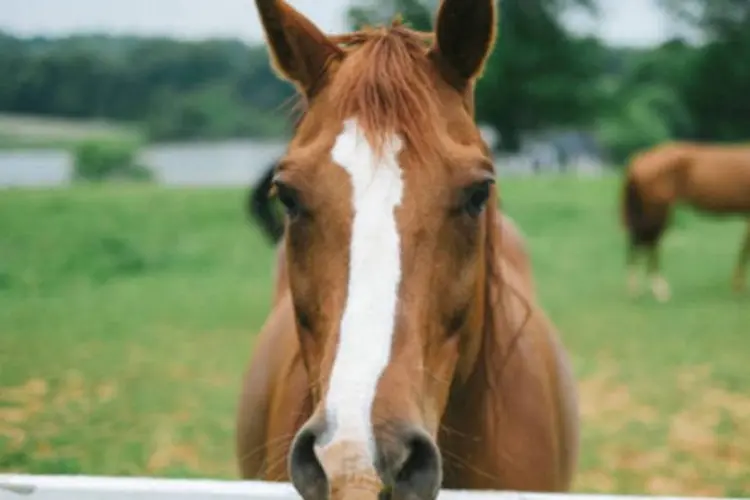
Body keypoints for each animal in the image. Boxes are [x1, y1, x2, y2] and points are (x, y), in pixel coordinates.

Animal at [624, 143, 750, 302]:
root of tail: (643, 158)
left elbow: (744, 247)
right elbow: (745, 248)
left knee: (640, 242)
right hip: (657, 213)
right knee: (649, 244)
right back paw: (659, 291)